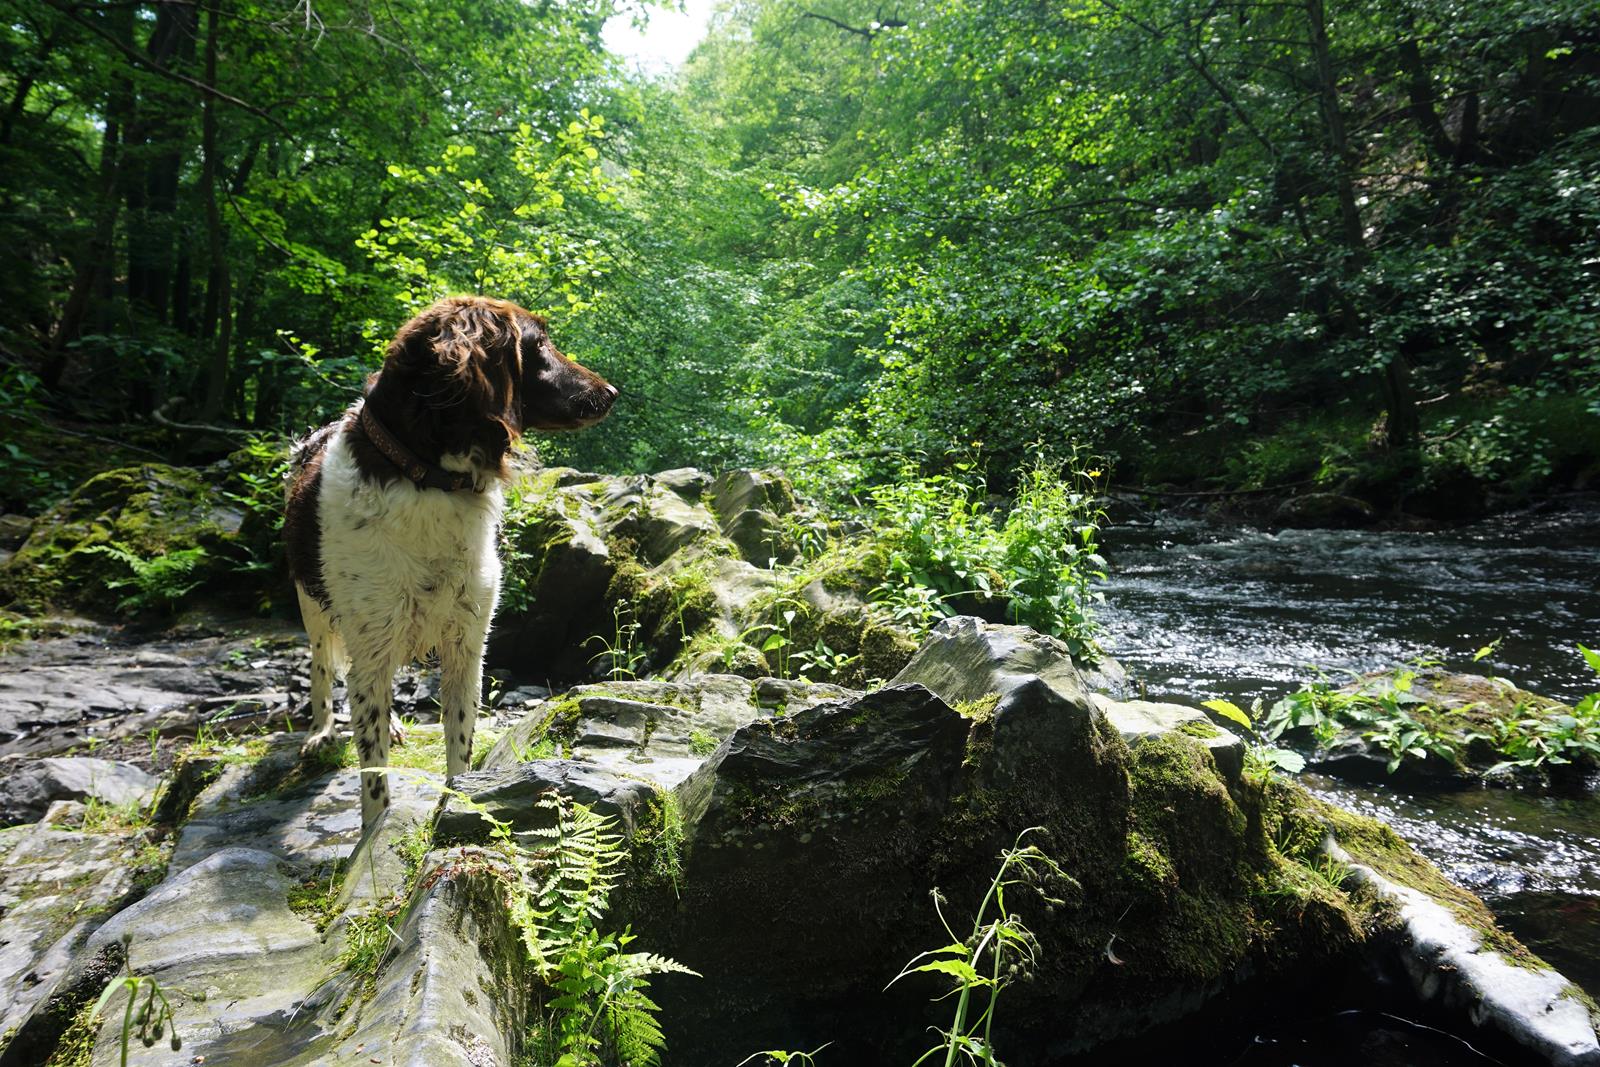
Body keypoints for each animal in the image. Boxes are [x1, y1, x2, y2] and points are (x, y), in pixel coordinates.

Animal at [284, 299, 614, 831]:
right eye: (539, 343)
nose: (611, 393)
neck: (427, 478)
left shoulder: (468, 638)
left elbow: (460, 738)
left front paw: (459, 802)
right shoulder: (373, 636)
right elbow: (373, 771)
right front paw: (373, 835)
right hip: (313, 604)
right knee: (322, 666)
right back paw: (321, 731)